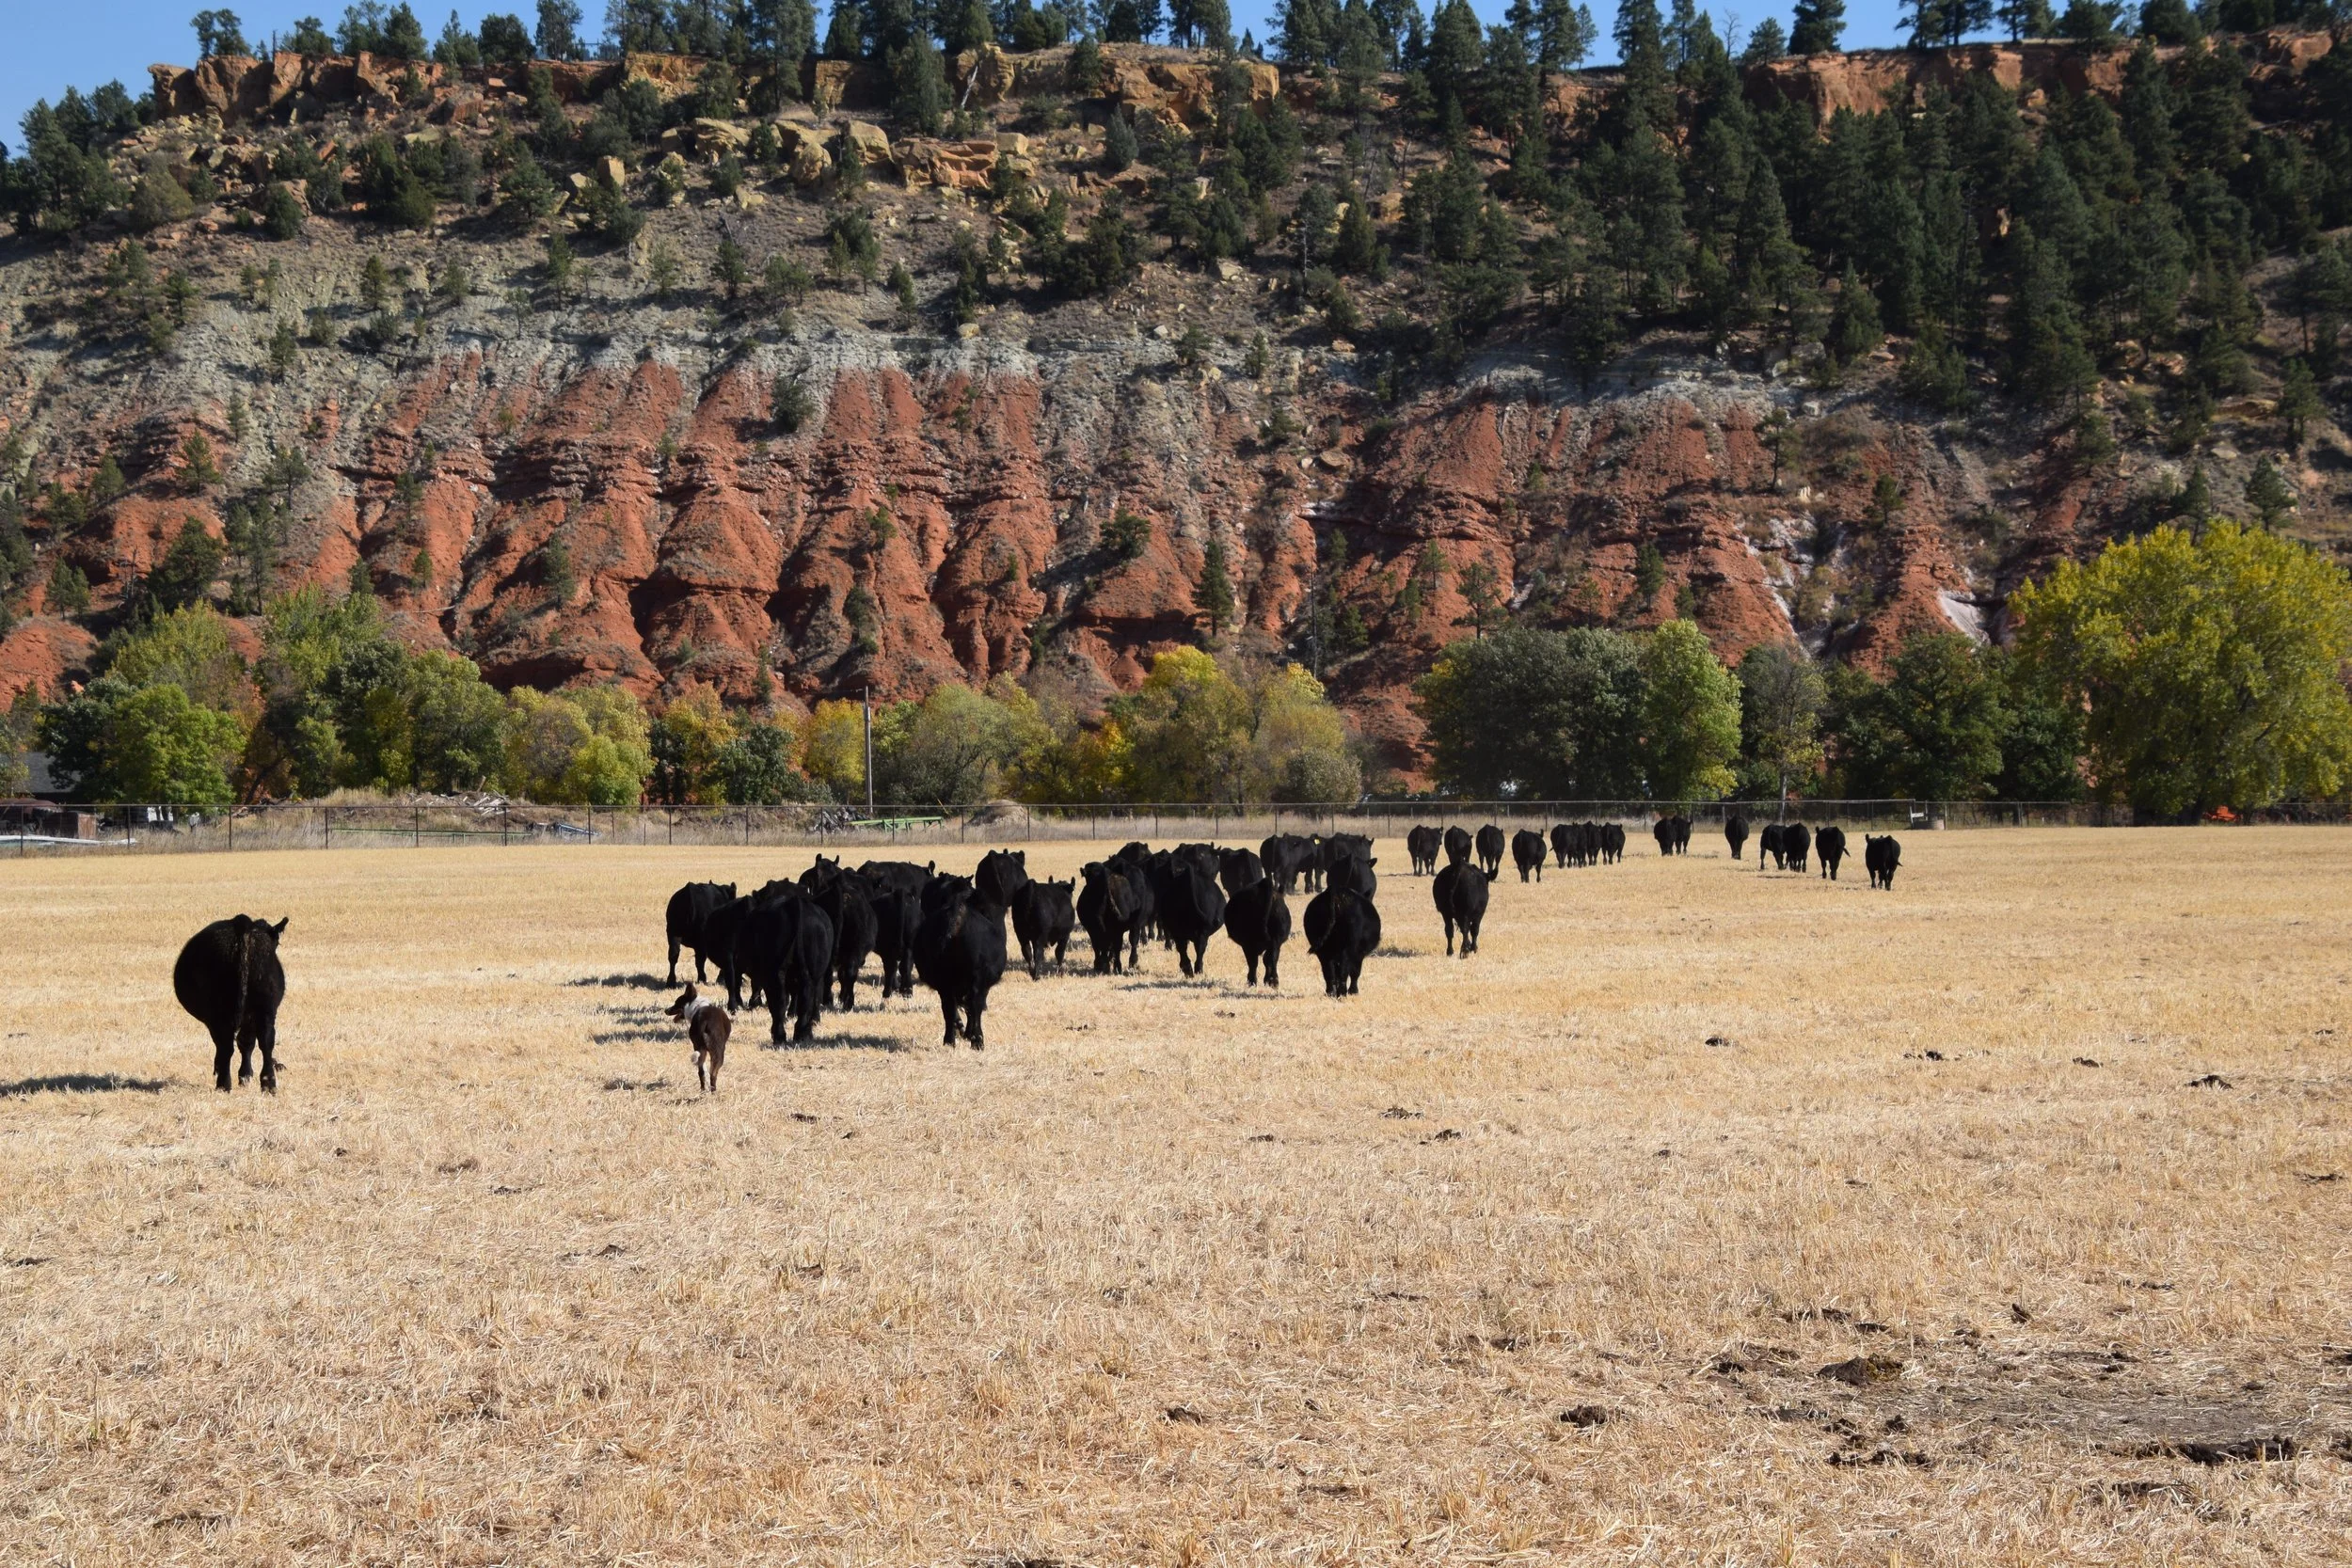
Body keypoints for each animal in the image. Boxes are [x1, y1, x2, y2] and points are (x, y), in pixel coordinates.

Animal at [175, 915, 289, 1093]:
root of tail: (243, 925)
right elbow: (247, 1042)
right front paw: (245, 1076)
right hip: (265, 1008)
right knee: (266, 1041)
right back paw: (268, 1084)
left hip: (220, 1012)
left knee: (226, 1045)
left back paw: (224, 1084)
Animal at [733, 884, 833, 1045]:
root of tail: (795, 904)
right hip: (810, 972)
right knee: (806, 1000)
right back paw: (802, 1035)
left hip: (775, 973)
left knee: (779, 1002)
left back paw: (780, 1036)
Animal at [913, 874, 1008, 1049]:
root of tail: (957, 916)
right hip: (977, 978)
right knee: (974, 1004)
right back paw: (976, 1040)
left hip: (944, 980)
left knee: (949, 1007)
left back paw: (950, 1040)